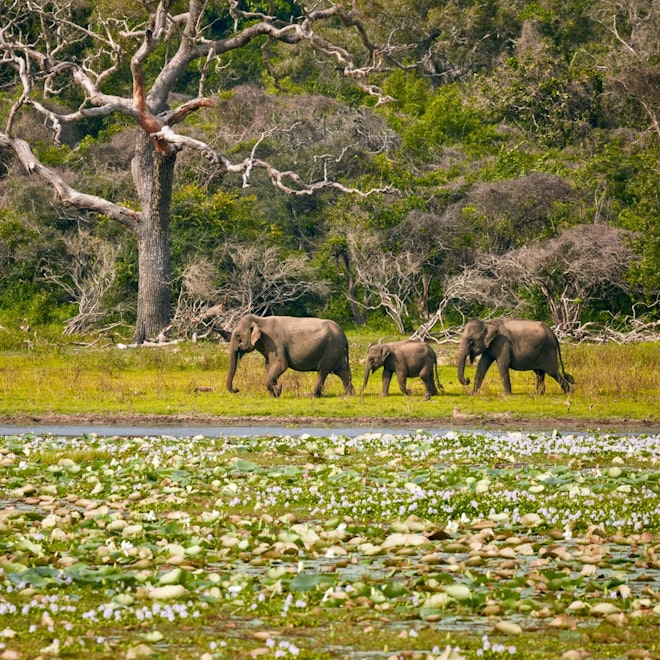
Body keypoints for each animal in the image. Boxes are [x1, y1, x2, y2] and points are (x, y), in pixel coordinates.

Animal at [226, 314, 355, 398]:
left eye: (238, 335)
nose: (237, 389)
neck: (260, 319)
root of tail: (344, 335)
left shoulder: (275, 342)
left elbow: (281, 365)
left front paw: (277, 391)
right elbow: (269, 366)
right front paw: (274, 394)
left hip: (330, 350)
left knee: (323, 372)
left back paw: (311, 395)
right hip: (337, 352)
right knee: (342, 371)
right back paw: (349, 395)